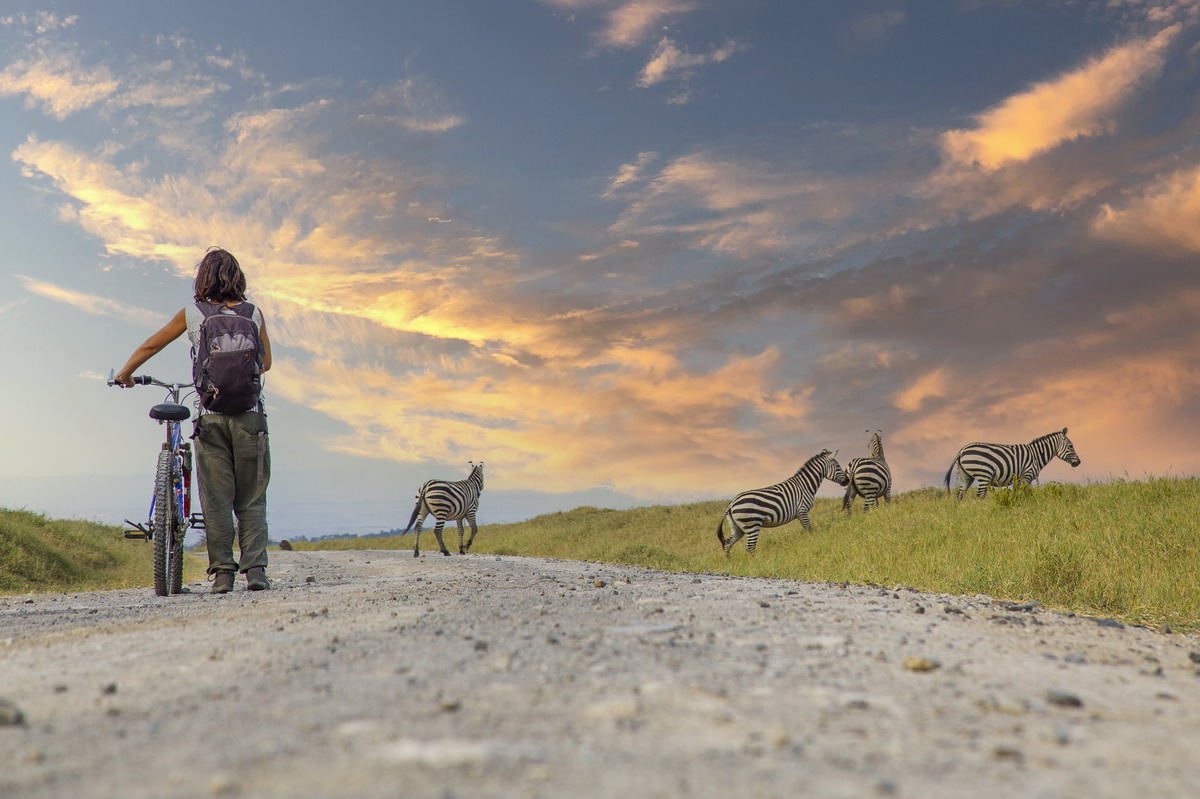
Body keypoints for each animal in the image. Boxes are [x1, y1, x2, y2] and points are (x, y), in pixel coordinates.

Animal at [715, 448, 849, 554]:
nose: (847, 481)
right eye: (838, 466)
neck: (804, 485)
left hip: (738, 527)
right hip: (752, 525)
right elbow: (809, 530)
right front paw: (813, 542)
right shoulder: (802, 512)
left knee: (728, 543)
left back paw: (729, 562)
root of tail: (732, 503)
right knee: (749, 548)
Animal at [940, 422, 1084, 499]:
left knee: (960, 494)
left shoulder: (1024, 479)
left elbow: (1022, 494)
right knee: (980, 494)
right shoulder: (1026, 475)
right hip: (984, 474)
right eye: (1071, 446)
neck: (1036, 455)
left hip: (965, 475)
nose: (1078, 463)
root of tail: (962, 450)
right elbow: (1022, 494)